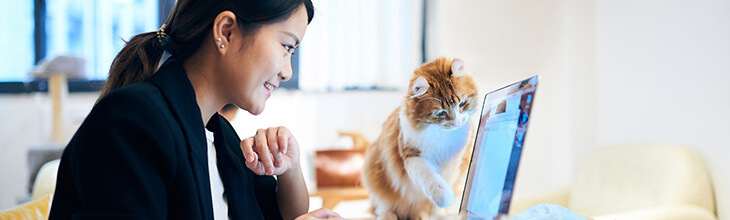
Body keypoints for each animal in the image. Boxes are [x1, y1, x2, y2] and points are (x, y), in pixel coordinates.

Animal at [360, 57, 478, 219]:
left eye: (462, 103)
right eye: (440, 113)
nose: (456, 122)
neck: (442, 136)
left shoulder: (455, 162)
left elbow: (439, 200)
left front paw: (439, 214)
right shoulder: (411, 156)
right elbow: (431, 179)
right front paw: (444, 197)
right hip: (373, 172)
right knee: (383, 208)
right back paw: (389, 215)